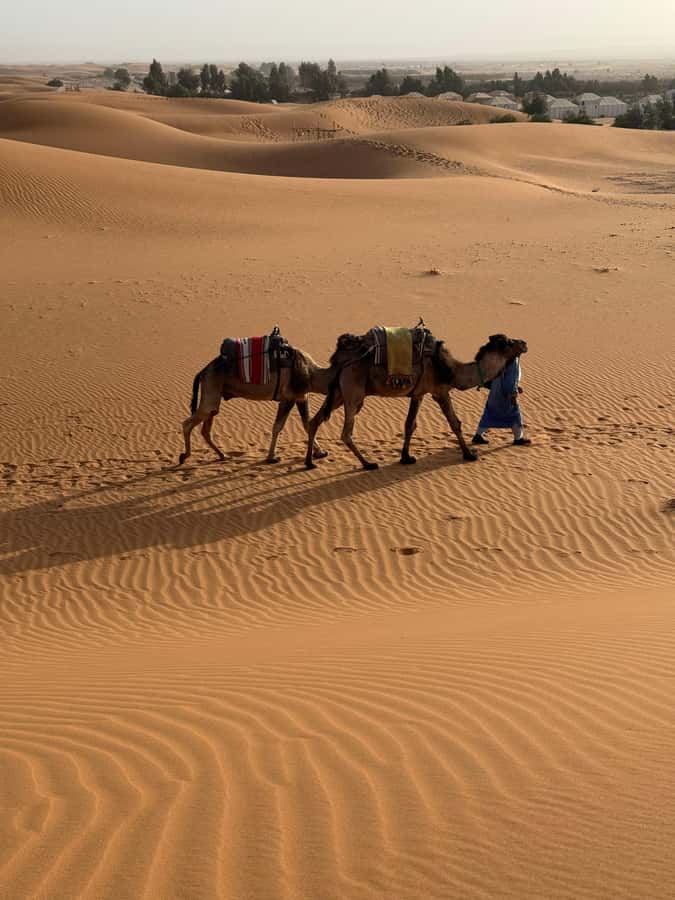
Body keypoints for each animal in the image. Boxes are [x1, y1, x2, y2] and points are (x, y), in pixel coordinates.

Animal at [179, 333, 333, 465]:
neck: (311, 373)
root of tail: (203, 371)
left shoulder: (301, 397)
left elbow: (307, 424)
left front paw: (320, 452)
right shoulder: (289, 397)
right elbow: (278, 426)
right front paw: (271, 457)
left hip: (213, 394)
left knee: (206, 426)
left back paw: (222, 455)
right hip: (211, 388)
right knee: (188, 423)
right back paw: (184, 456)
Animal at [304, 330, 528, 470]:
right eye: (509, 342)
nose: (524, 343)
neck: (452, 370)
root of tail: (338, 359)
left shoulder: (419, 392)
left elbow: (409, 424)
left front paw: (406, 457)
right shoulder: (439, 391)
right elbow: (454, 422)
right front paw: (470, 454)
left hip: (338, 392)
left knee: (315, 421)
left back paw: (310, 462)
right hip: (353, 391)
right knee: (346, 432)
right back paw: (368, 464)